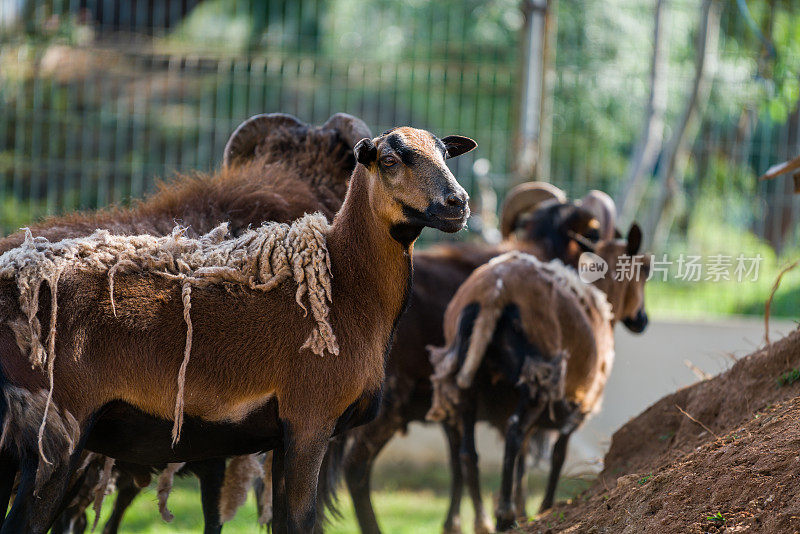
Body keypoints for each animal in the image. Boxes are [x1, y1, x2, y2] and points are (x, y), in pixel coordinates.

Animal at [0, 126, 476, 534]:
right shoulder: (310, 421)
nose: (458, 204)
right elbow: (300, 522)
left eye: (446, 153)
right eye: (391, 159)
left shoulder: (282, 438)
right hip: (57, 432)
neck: (345, 288)